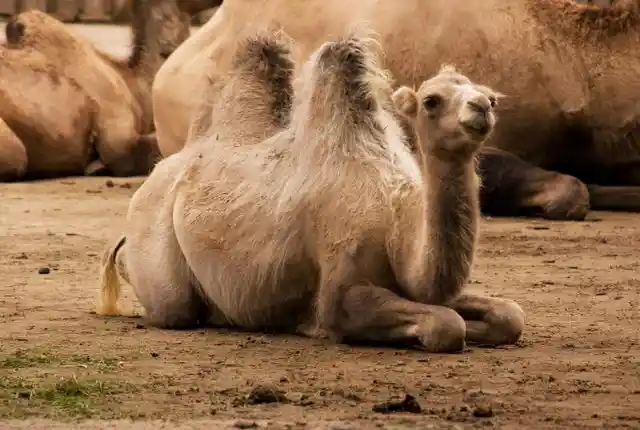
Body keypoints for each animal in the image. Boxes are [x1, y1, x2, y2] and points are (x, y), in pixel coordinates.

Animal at [96, 31, 524, 352]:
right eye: (432, 101)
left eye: (491, 96)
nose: (482, 107)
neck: (396, 227)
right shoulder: (342, 291)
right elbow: (445, 325)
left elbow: (510, 314)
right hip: (160, 263)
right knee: (174, 306)